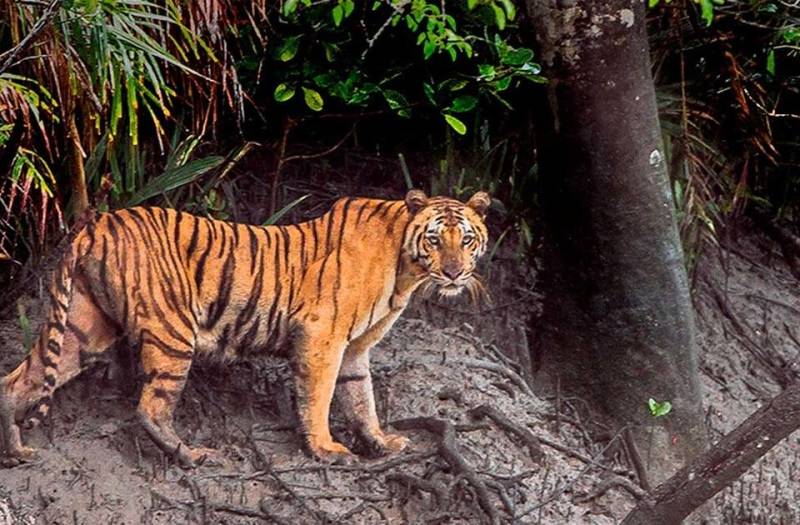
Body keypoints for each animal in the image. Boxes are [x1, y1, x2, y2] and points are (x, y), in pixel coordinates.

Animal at [0, 190, 490, 466]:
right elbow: (319, 397)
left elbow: (361, 399)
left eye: (467, 239)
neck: (406, 270)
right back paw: (193, 456)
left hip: (83, 329)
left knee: (16, 382)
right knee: (150, 408)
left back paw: (16, 452)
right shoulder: (323, 337)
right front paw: (326, 449)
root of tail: (96, 222)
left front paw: (382, 443)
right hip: (173, 332)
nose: (454, 273)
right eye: (435, 239)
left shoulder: (355, 350)